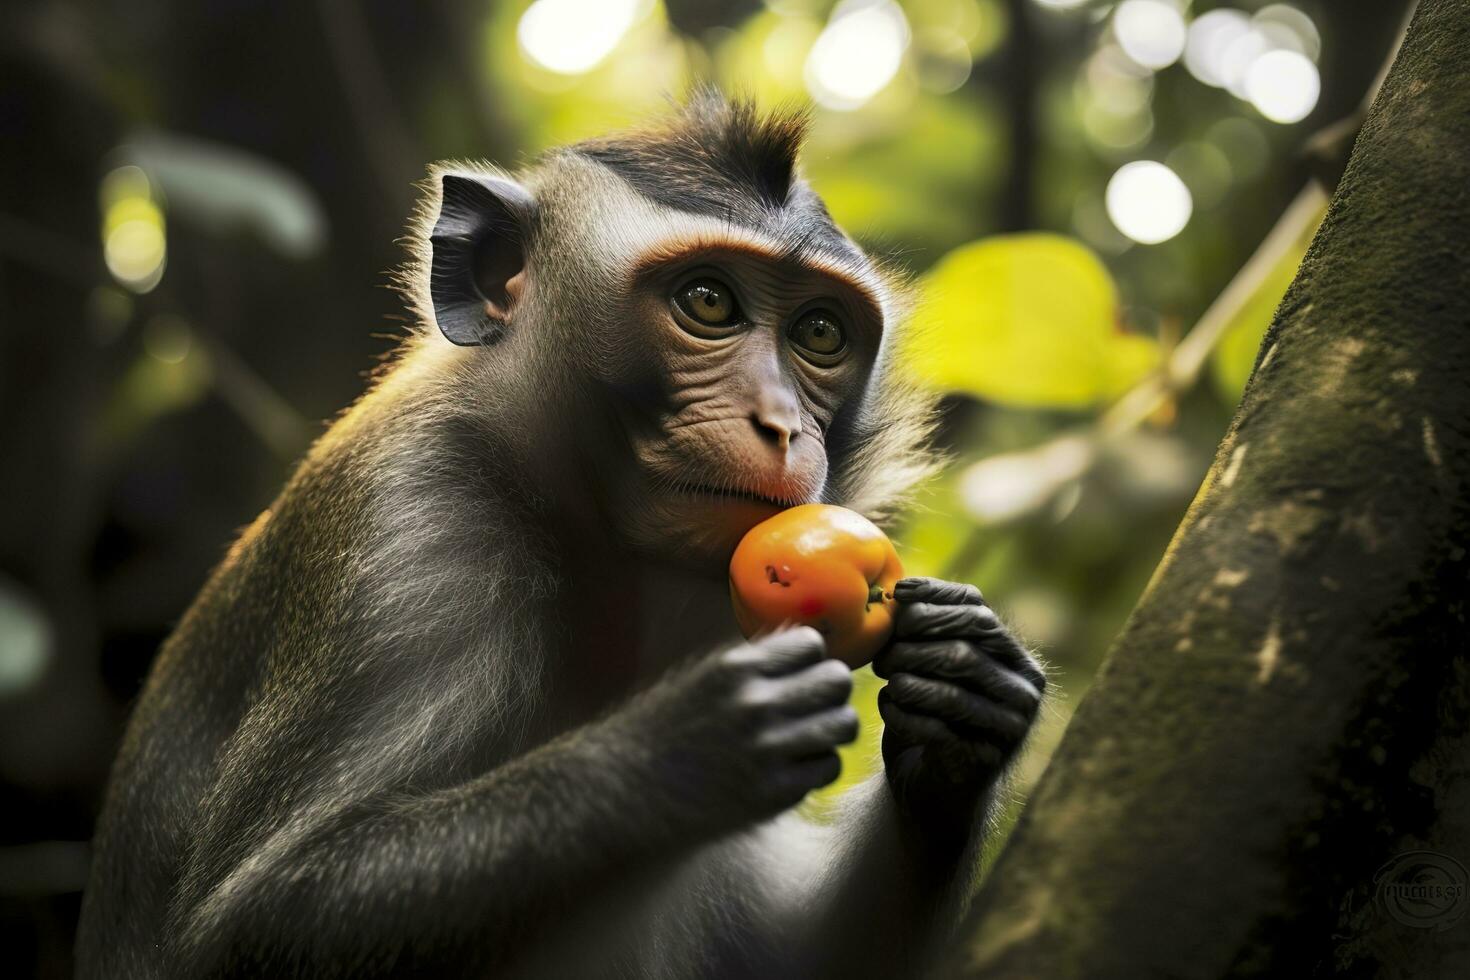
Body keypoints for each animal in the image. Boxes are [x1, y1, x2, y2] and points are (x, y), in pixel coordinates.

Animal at [77, 94, 1046, 980]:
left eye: (819, 332)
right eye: (708, 301)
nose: (780, 424)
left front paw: (966, 707)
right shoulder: (411, 525)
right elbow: (252, 922)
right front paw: (674, 757)